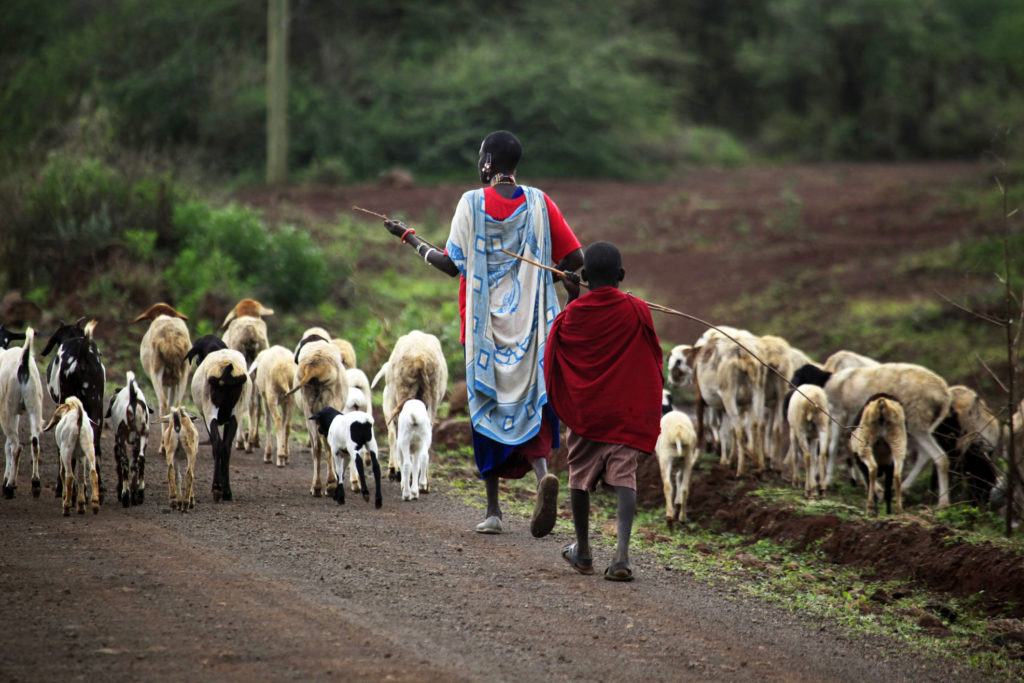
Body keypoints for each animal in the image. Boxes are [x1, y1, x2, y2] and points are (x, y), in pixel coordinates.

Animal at [104, 370, 150, 505]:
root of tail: (133, 398)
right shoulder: (137, 442)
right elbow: (134, 464)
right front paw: (134, 492)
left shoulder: (118, 442)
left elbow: (120, 463)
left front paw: (121, 492)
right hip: (143, 435)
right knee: (140, 459)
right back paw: (139, 493)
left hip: (122, 438)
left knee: (124, 462)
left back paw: (125, 495)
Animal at [185, 335, 248, 501]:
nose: (198, 362)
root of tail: (226, 367)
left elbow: (214, 446)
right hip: (236, 413)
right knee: (226, 446)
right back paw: (226, 492)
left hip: (209, 410)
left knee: (219, 445)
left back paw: (217, 488)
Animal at [370, 329, 446, 483]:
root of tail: (420, 360)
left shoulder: (390, 408)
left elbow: (392, 435)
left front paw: (394, 470)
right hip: (431, 396)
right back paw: (423, 478)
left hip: (402, 392)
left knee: (400, 434)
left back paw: (400, 472)